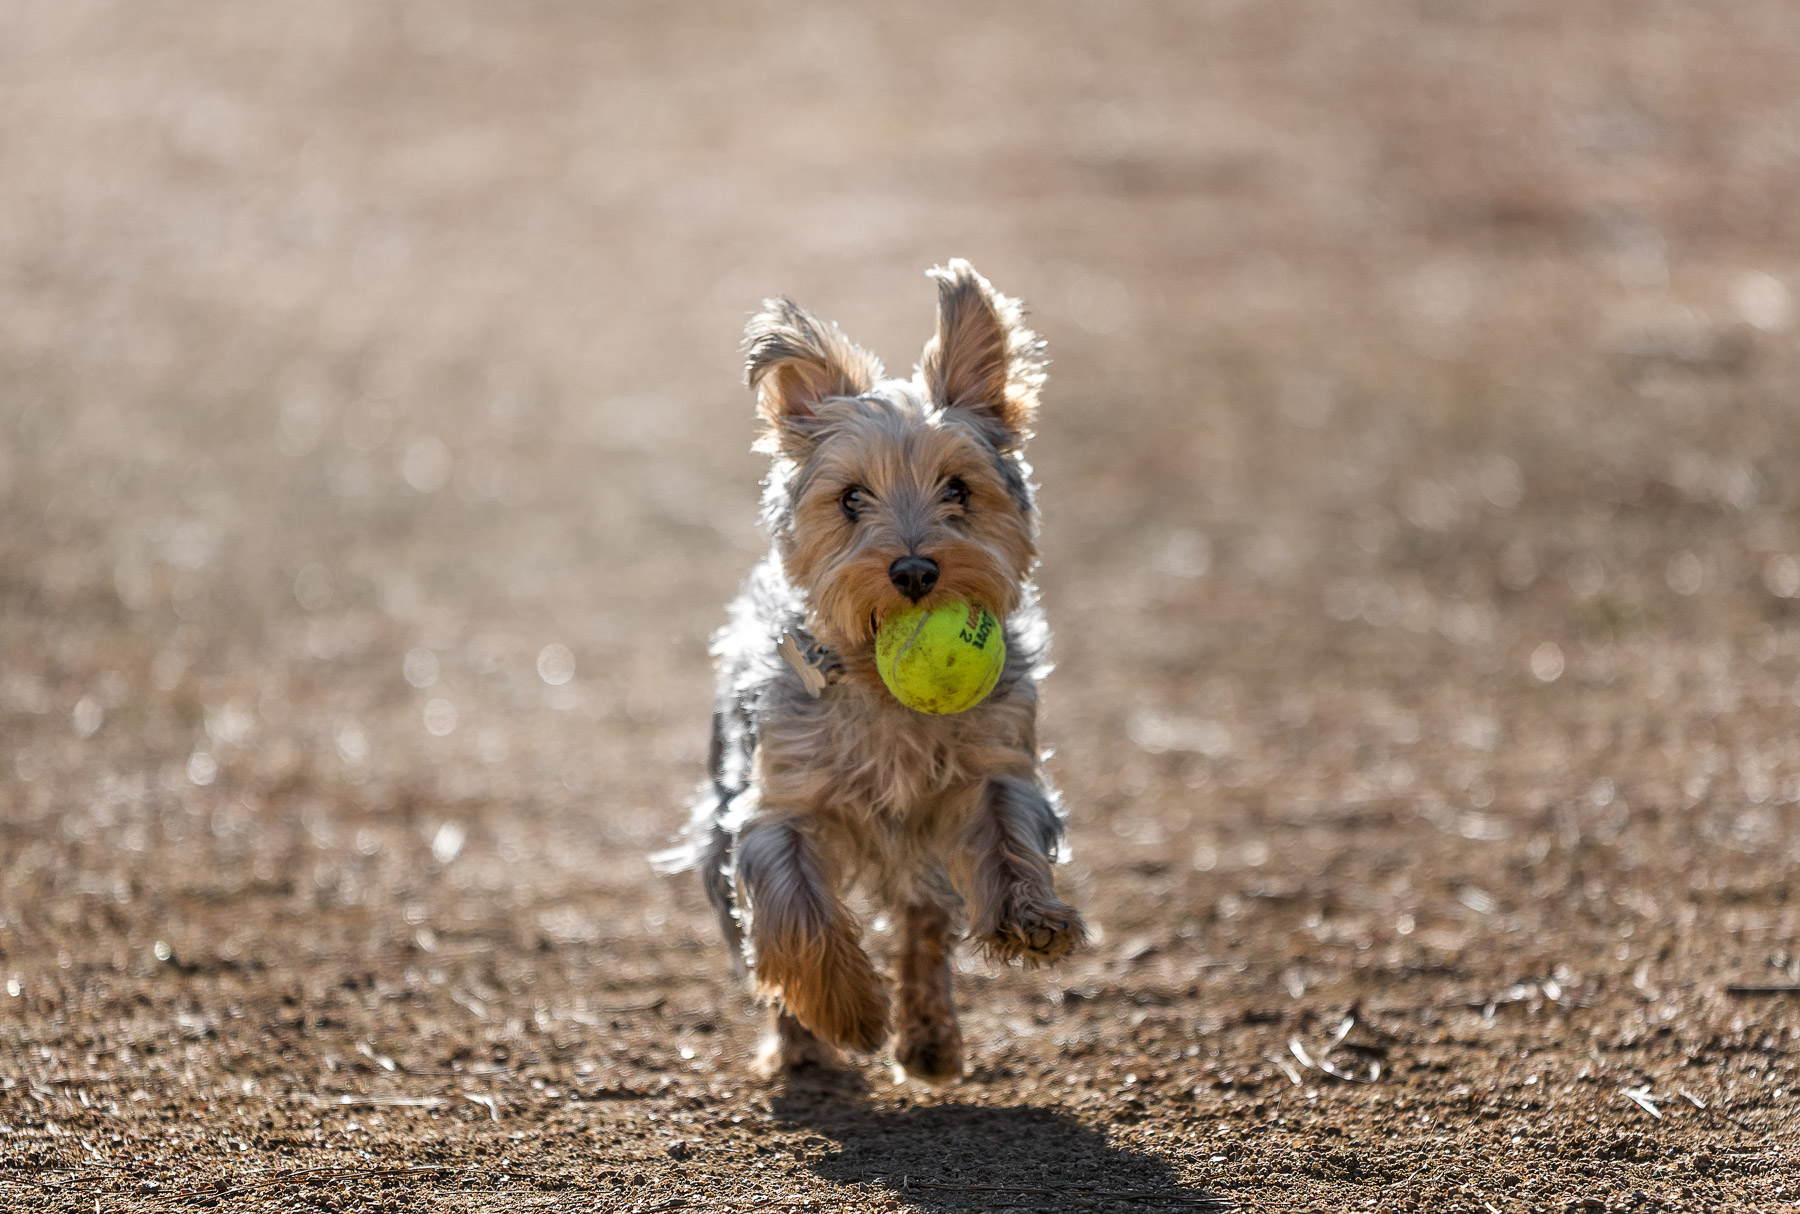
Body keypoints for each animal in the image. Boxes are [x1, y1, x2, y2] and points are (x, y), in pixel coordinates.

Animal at [662, 257, 1080, 1080]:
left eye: (959, 489)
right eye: (852, 497)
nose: (915, 570)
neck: (884, 697)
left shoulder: (994, 764)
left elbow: (1008, 834)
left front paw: (1032, 918)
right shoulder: (774, 806)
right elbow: (796, 916)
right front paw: (848, 1012)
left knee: (924, 922)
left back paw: (930, 1041)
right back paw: (802, 1049)